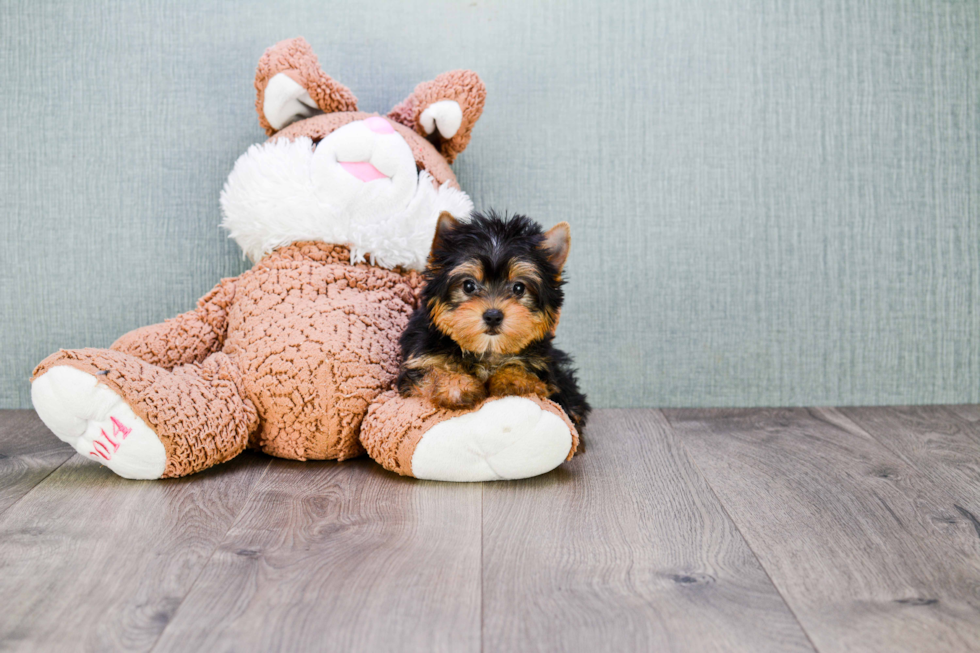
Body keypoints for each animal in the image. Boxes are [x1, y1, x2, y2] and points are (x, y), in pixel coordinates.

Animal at [396, 211, 588, 430]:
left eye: (519, 288)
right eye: (468, 286)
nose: (493, 315)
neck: (487, 351)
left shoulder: (546, 371)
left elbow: (527, 372)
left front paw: (512, 379)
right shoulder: (420, 358)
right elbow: (432, 371)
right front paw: (457, 386)